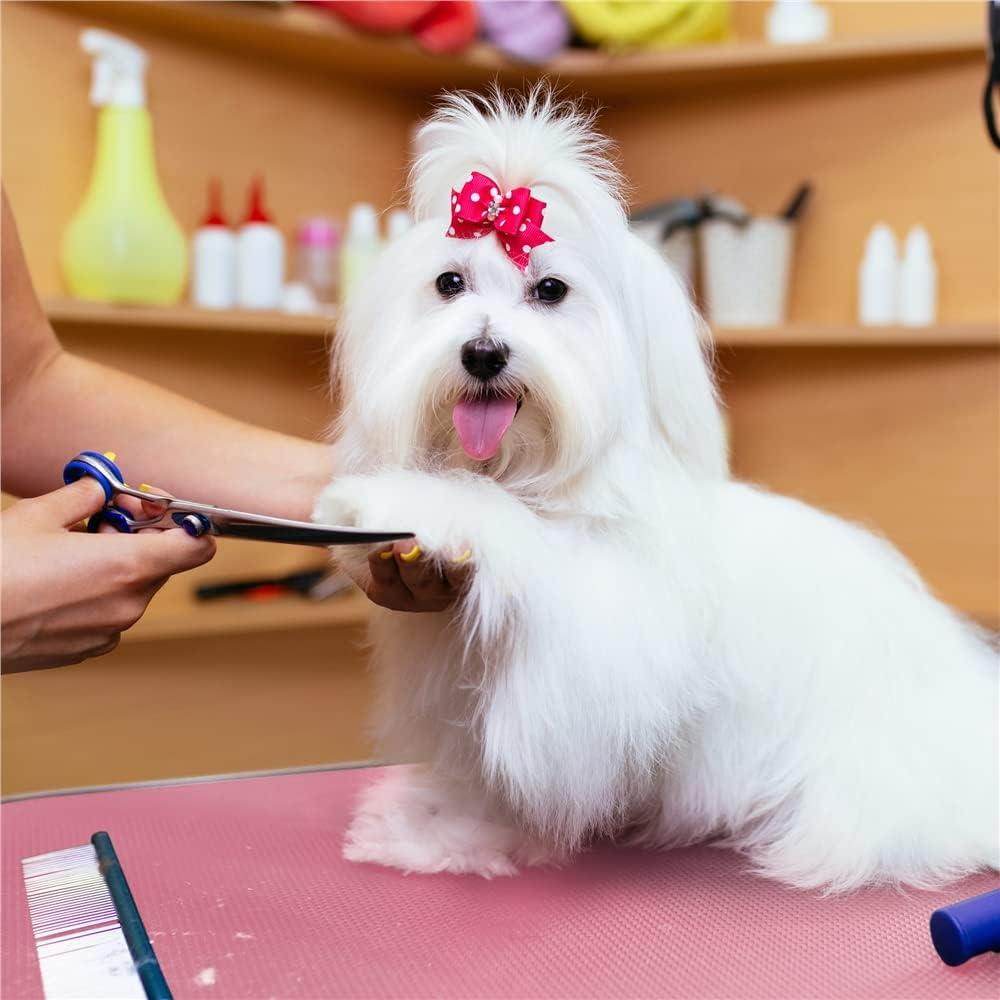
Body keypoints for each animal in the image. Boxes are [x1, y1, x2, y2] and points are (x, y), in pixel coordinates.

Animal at [314, 90, 1000, 892]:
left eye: (551, 291)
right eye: (449, 284)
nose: (483, 352)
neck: (534, 476)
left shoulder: (599, 642)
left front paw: (399, 503)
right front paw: (442, 833)